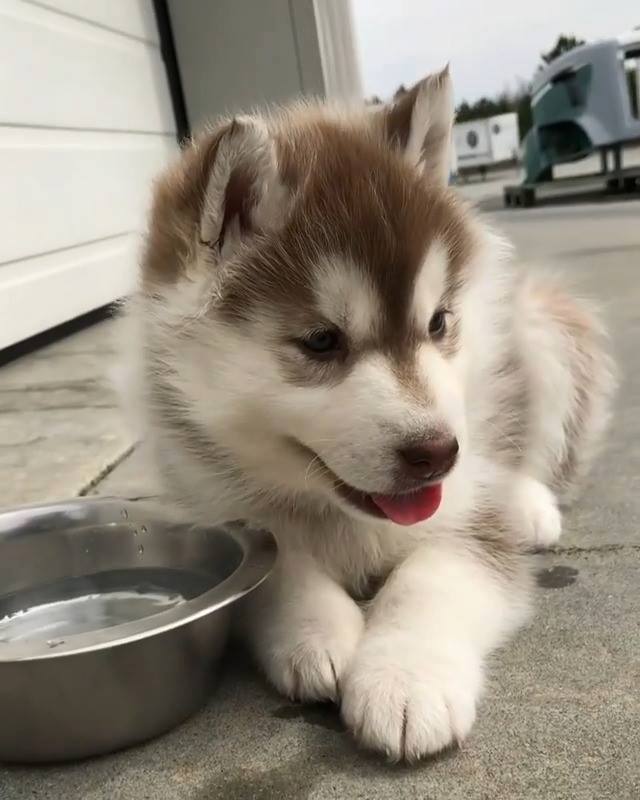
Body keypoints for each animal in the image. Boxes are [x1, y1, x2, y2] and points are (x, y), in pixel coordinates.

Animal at [125, 70, 616, 764]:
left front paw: (406, 680)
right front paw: (317, 631)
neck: (340, 515)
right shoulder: (209, 498)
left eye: (436, 323)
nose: (438, 454)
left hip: (540, 330)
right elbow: (273, 563)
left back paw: (529, 505)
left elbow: (432, 576)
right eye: (321, 341)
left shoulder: (463, 517)